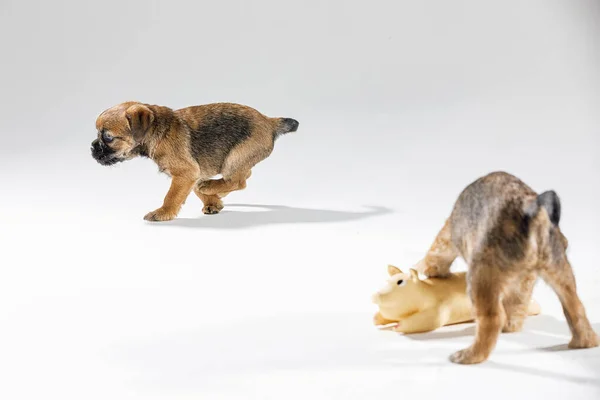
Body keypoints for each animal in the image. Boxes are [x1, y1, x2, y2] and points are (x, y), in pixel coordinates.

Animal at [91, 102, 298, 222]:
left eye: (108, 137)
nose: (92, 148)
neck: (156, 131)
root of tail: (269, 121)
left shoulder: (186, 173)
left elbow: (172, 196)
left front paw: (163, 212)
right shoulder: (195, 171)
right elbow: (194, 189)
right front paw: (213, 203)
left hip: (235, 158)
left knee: (239, 181)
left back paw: (211, 186)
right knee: (243, 176)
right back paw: (215, 189)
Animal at [414, 170, 596, 364]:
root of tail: (532, 214)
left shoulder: (448, 236)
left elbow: (436, 253)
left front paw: (427, 269)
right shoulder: (524, 282)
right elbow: (517, 305)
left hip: (480, 276)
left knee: (492, 319)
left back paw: (469, 355)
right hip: (561, 272)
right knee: (576, 308)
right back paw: (584, 341)